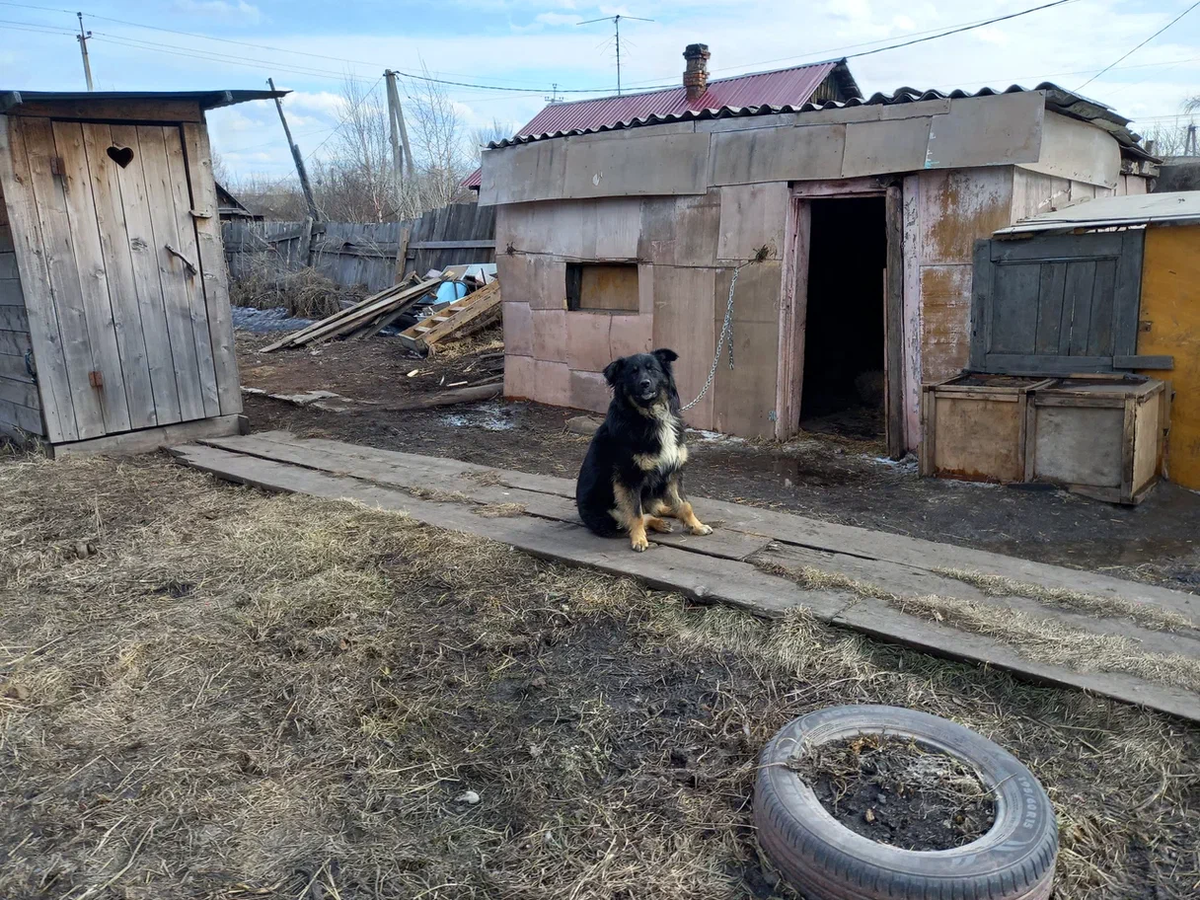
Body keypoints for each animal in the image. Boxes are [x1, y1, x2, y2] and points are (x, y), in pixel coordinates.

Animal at [573, 348, 710, 554]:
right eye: (633, 373)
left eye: (652, 369)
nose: (644, 383)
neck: (651, 415)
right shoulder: (628, 478)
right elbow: (635, 514)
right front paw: (639, 540)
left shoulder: (672, 472)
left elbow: (685, 505)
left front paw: (696, 526)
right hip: (606, 517)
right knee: (635, 517)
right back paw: (658, 523)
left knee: (657, 507)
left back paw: (667, 513)